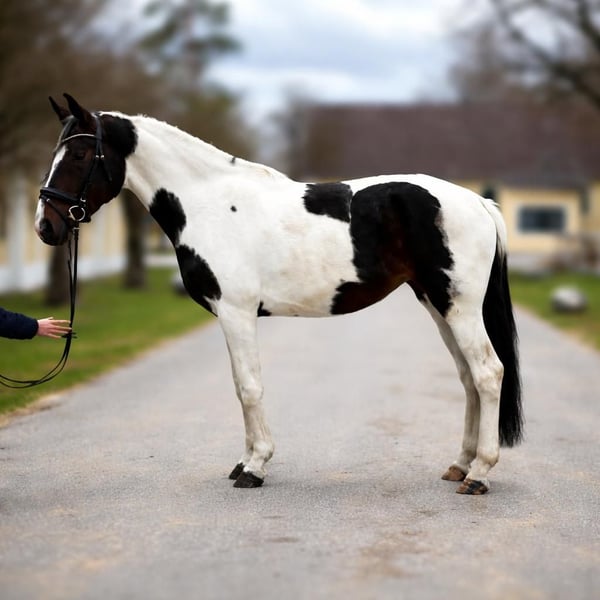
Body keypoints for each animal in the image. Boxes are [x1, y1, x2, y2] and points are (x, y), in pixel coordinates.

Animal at [35, 94, 523, 495]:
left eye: (79, 153)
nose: (46, 225)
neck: (210, 204)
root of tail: (477, 202)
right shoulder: (232, 315)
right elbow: (241, 386)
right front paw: (244, 461)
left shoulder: (236, 312)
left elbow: (249, 387)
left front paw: (255, 468)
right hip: (437, 304)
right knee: (468, 379)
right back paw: (460, 465)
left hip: (458, 308)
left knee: (488, 373)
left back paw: (480, 474)